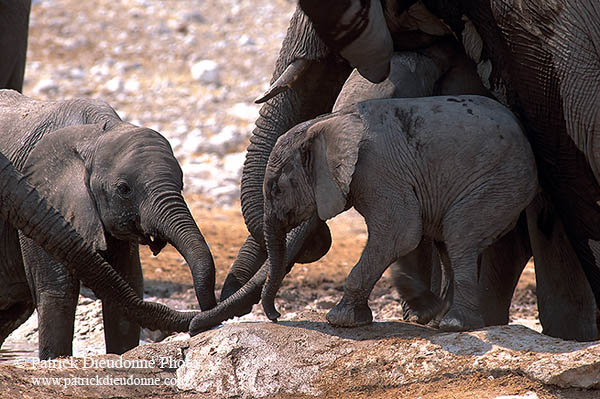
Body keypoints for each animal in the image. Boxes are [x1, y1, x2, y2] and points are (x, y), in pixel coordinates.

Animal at [0, 90, 216, 360]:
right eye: (124, 189)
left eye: (182, 183)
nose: (202, 320)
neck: (96, 132)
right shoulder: (47, 193)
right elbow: (59, 292)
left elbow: (128, 286)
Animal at [260, 95, 536, 330]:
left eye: (276, 189)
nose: (276, 316)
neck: (330, 121)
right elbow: (403, 235)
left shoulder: (376, 169)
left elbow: (400, 232)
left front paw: (340, 320)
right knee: (447, 242)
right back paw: (439, 320)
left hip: (500, 181)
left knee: (459, 234)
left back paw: (455, 323)